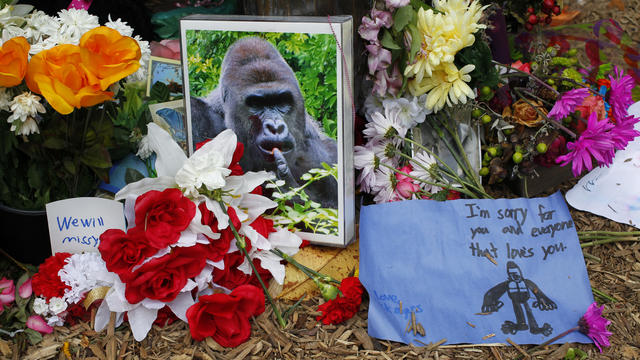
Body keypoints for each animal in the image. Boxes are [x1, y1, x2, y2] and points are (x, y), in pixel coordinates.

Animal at [191, 36, 338, 208]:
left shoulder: (327, 156)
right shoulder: (198, 116)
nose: (275, 127)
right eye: (256, 104)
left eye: (282, 102)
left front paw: (288, 190)